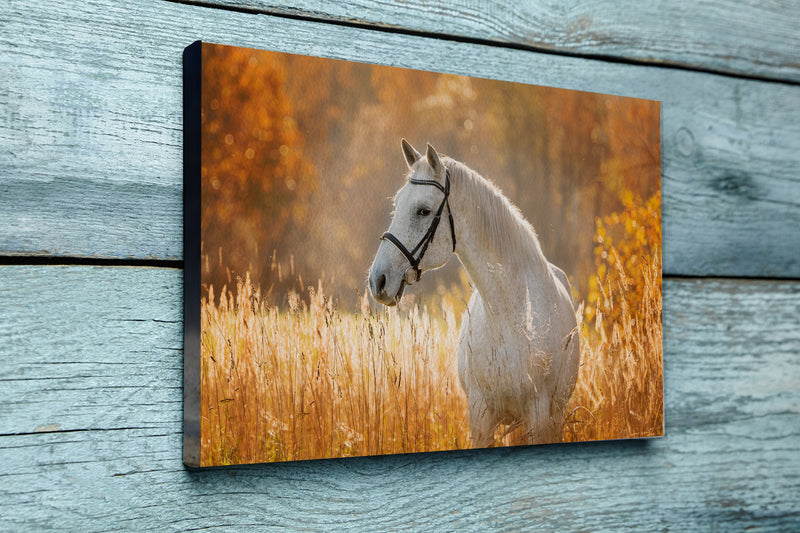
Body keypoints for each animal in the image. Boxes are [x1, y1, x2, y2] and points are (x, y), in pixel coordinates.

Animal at [368, 139, 580, 446]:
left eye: (423, 211)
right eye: (397, 204)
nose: (378, 280)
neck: (511, 316)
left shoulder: (539, 416)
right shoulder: (480, 416)